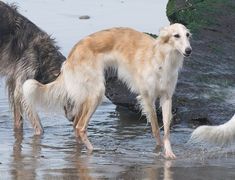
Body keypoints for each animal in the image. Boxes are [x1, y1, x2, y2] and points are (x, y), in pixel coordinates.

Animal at [22, 22, 191, 159]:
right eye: (176, 36)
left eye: (187, 35)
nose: (189, 50)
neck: (161, 57)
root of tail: (70, 56)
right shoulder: (147, 97)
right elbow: (156, 128)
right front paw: (159, 150)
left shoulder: (166, 97)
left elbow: (166, 129)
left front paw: (168, 152)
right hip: (96, 93)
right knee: (80, 127)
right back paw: (92, 150)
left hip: (86, 95)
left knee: (76, 125)